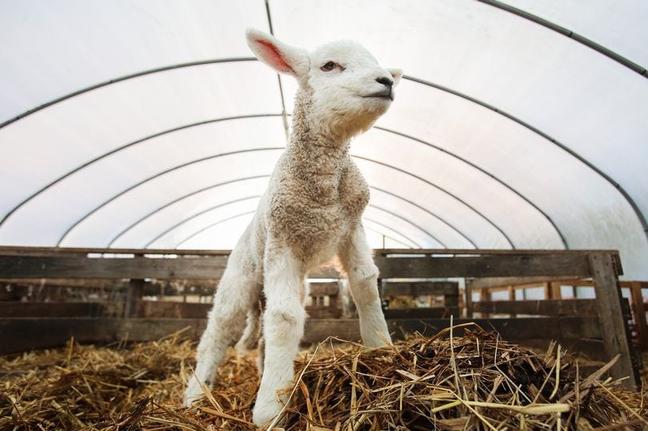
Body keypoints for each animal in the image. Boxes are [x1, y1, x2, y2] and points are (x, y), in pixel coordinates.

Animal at [182, 27, 402, 428]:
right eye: (329, 66)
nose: (386, 81)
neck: (325, 188)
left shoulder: (350, 228)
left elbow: (365, 284)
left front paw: (382, 352)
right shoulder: (283, 238)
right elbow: (284, 318)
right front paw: (269, 410)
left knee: (263, 333)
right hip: (241, 275)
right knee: (219, 330)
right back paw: (196, 395)